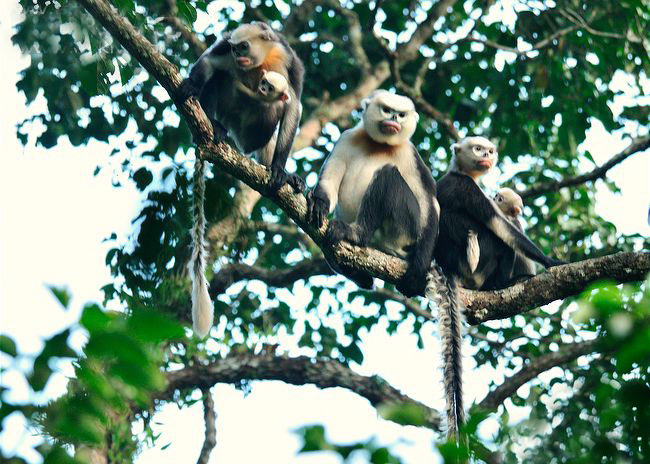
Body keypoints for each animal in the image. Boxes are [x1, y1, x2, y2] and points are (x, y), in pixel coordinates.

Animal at [179, 23, 304, 337]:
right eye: (235, 48)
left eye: (243, 47)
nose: (238, 55)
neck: (262, 60)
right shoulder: (223, 48)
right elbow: (210, 64)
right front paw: (191, 85)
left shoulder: (289, 62)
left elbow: (293, 106)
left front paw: (280, 170)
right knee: (221, 79)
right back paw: (214, 127)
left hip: (252, 134)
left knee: (274, 111)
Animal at [306, 90, 440, 298]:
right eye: (387, 110)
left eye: (401, 114)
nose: (394, 118)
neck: (380, 144)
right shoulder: (346, 138)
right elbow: (329, 182)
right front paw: (319, 203)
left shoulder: (410, 153)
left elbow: (430, 202)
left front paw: (417, 271)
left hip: (405, 230)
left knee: (388, 175)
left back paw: (356, 234)